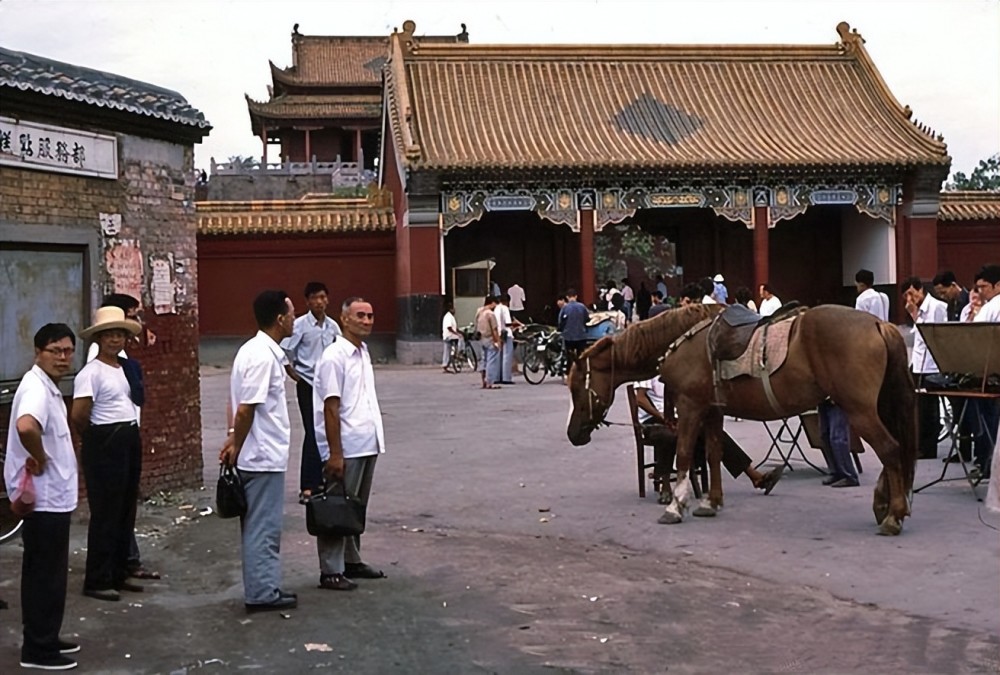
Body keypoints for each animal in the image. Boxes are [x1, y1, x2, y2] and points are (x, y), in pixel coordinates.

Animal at [568, 304, 916, 536]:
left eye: (576, 387)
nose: (573, 434)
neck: (684, 340)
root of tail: (877, 324)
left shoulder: (690, 406)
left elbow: (684, 454)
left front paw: (675, 506)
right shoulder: (712, 410)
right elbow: (712, 453)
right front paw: (711, 503)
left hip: (859, 409)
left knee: (889, 449)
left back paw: (893, 515)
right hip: (876, 407)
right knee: (895, 450)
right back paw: (886, 505)